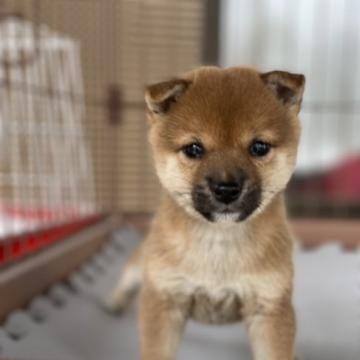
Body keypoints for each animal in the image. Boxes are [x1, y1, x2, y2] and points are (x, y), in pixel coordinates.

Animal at [108, 65, 306, 360]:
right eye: (193, 149)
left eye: (259, 147)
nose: (226, 189)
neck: (219, 242)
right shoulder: (163, 299)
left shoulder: (269, 305)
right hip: (143, 264)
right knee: (129, 275)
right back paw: (115, 301)